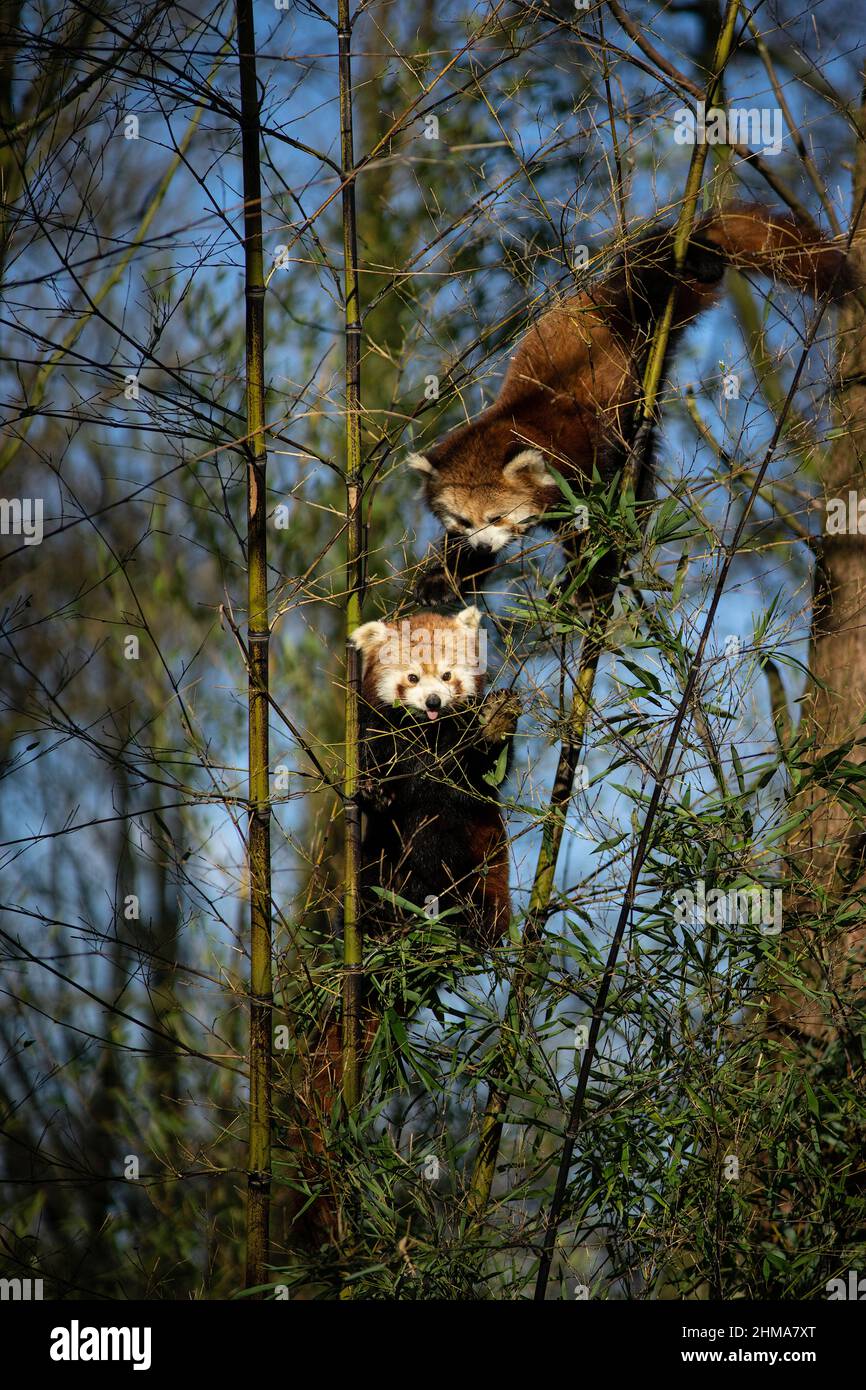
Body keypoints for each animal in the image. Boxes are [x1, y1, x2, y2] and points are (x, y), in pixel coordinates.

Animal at [347, 606, 517, 945]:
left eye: (447, 676)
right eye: (412, 678)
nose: (433, 701)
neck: (426, 730)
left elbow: (483, 776)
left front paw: (495, 722)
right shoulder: (377, 733)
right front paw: (376, 792)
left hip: (484, 865)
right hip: (380, 859)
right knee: (376, 881)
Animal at [408, 202, 850, 600]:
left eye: (497, 516)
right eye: (463, 521)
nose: (481, 545)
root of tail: (597, 292)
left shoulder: (583, 456)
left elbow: (602, 517)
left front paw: (590, 582)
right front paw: (447, 577)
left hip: (635, 306)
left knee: (651, 265)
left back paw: (698, 255)